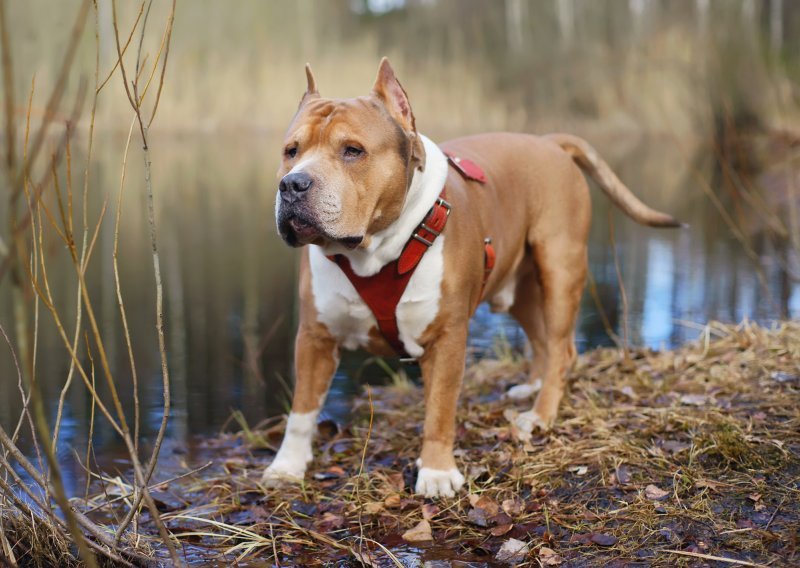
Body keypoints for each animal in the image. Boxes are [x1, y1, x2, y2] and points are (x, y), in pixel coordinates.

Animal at [264, 55, 680, 494]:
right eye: (291, 151)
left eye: (352, 151)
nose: (292, 184)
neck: (370, 251)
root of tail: (548, 142)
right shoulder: (314, 337)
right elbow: (302, 411)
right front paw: (287, 467)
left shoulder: (447, 338)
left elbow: (440, 409)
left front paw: (436, 472)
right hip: (521, 289)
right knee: (544, 340)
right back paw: (531, 388)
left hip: (560, 268)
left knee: (561, 348)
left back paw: (540, 414)